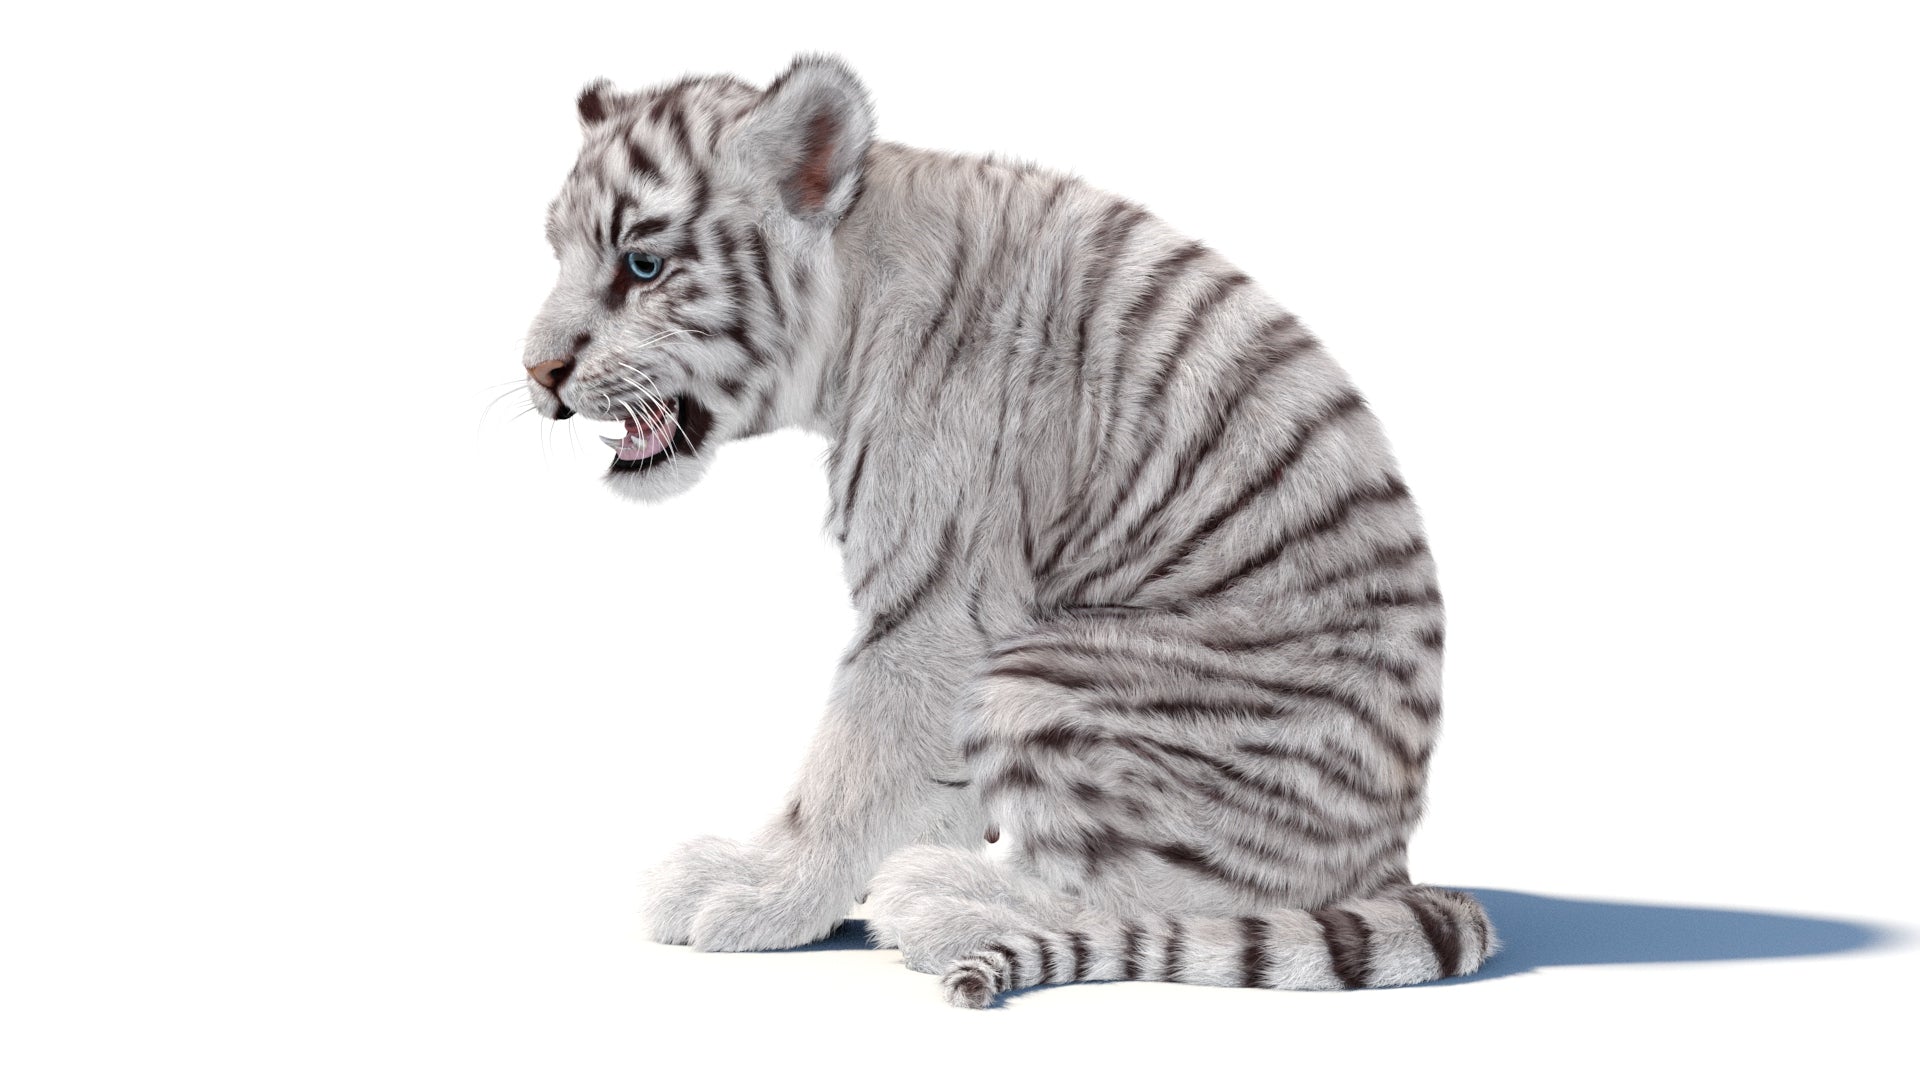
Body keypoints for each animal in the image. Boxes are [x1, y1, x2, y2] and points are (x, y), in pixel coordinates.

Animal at [519, 54, 1495, 1007]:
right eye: (559, 255)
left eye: (643, 266)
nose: (537, 372)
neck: (855, 292)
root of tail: (1392, 857)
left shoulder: (936, 604)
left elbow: (851, 766)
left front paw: (759, 891)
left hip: (1048, 676)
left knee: (1170, 894)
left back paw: (941, 898)